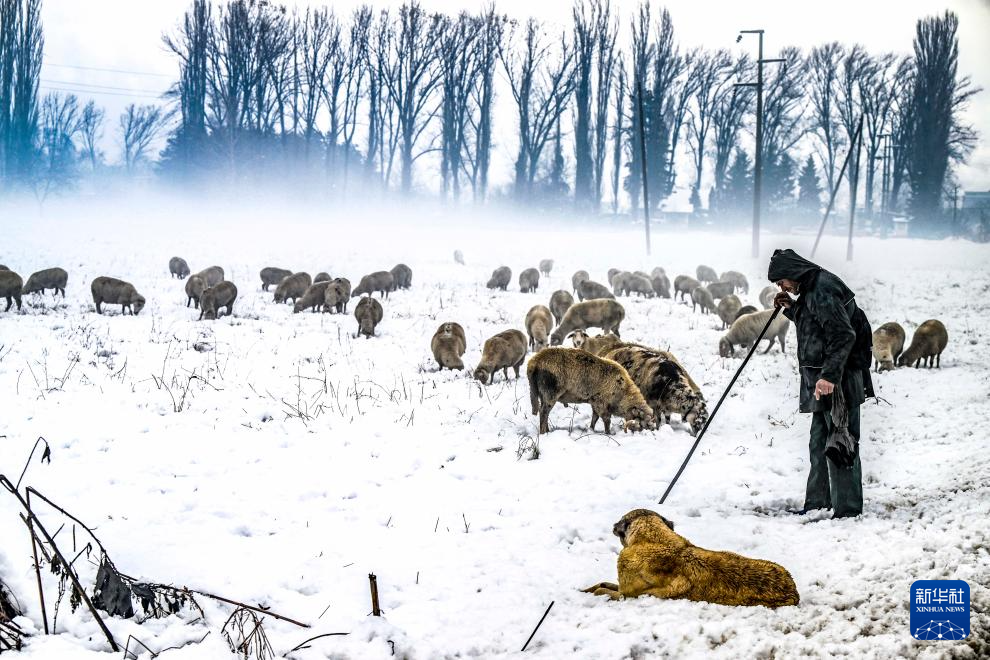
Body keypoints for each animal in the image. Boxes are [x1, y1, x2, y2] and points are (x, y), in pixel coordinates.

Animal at [528, 348, 660, 436]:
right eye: (643, 425)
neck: (623, 392)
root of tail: (535, 361)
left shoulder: (594, 402)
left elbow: (594, 418)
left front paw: (591, 429)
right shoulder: (601, 403)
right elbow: (606, 419)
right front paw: (608, 433)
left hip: (541, 393)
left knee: (545, 412)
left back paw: (547, 430)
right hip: (550, 393)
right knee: (544, 412)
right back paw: (544, 432)